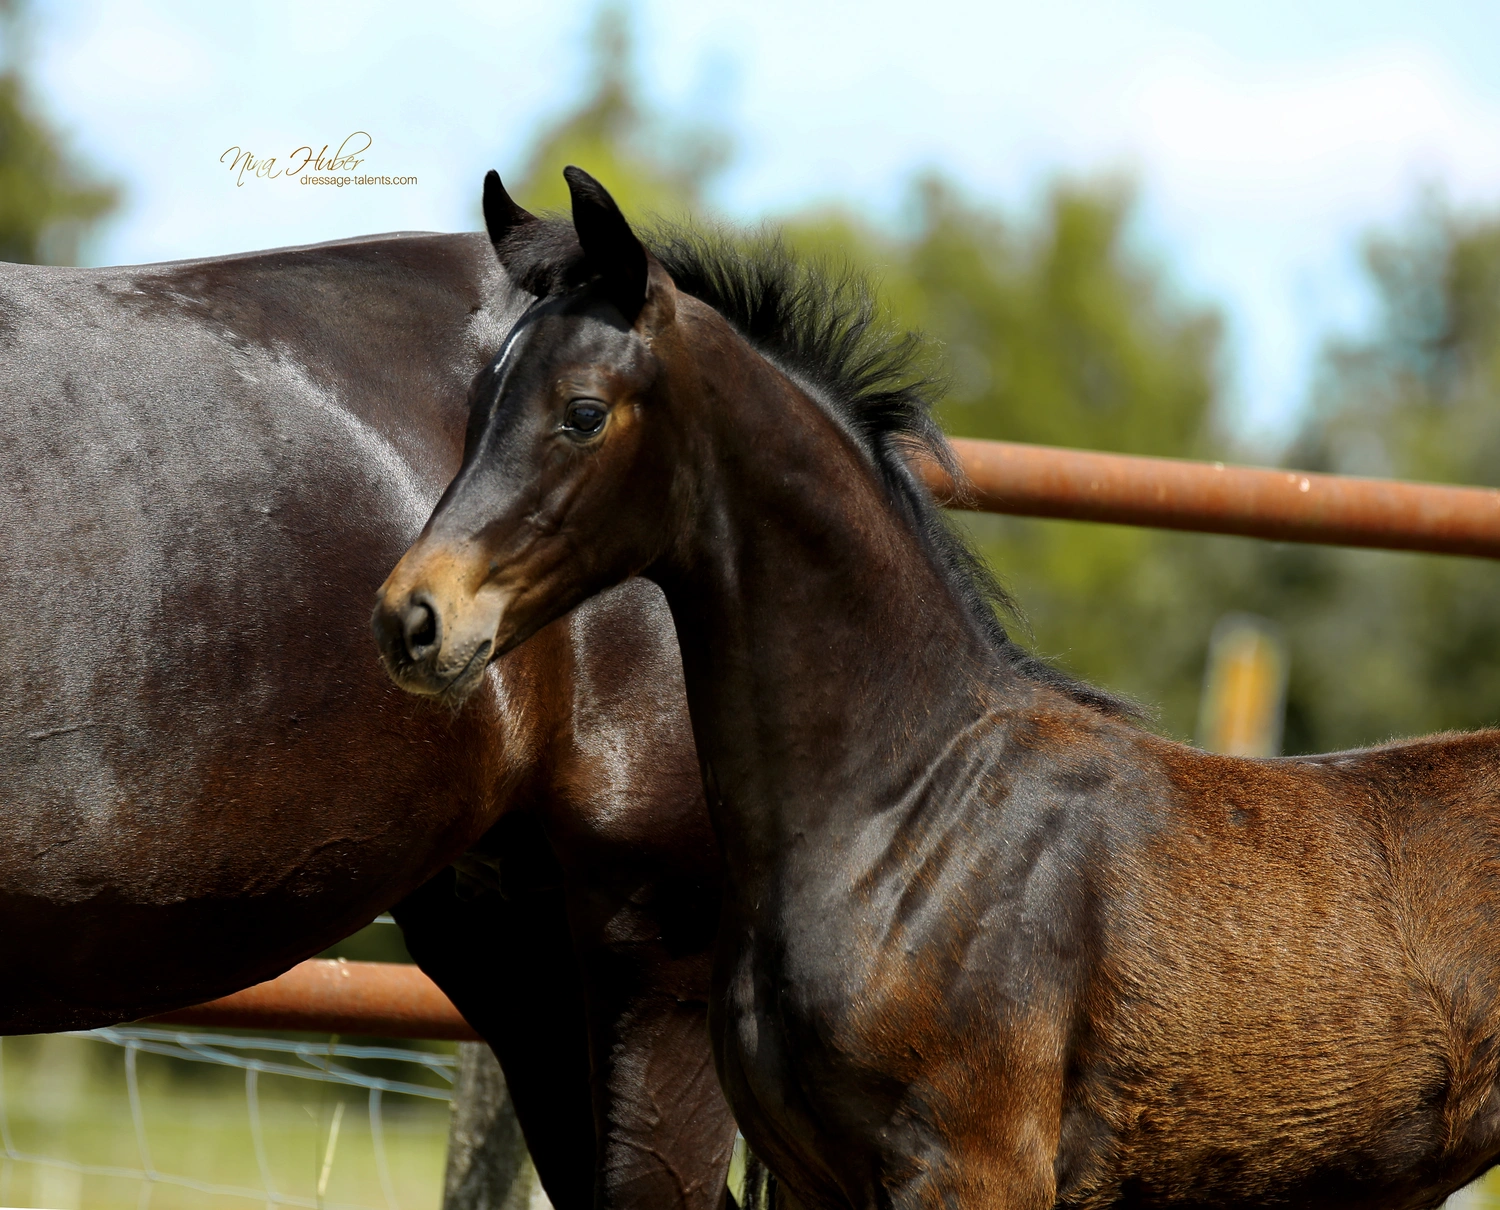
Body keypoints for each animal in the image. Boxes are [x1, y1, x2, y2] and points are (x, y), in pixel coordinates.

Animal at [373, 165, 1500, 1210]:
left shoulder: (969, 1168)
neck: (904, 811)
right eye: (474, 410)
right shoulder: (815, 1180)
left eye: (583, 413)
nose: (412, 616)